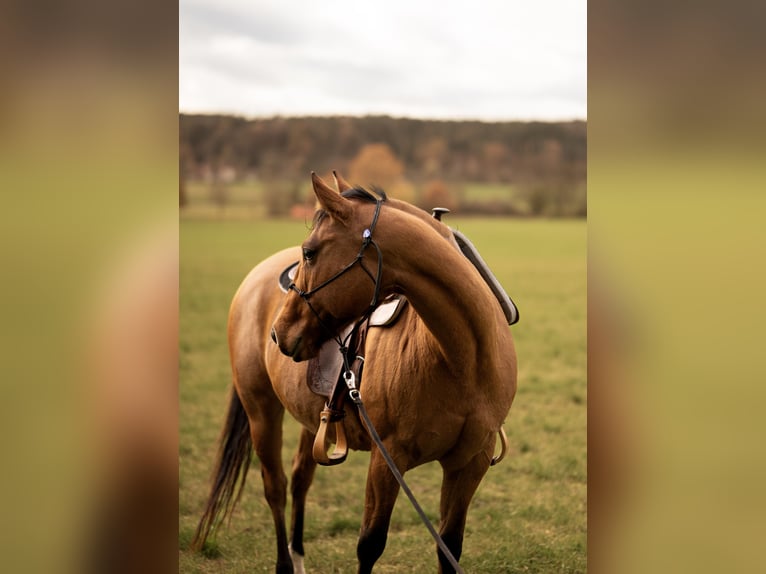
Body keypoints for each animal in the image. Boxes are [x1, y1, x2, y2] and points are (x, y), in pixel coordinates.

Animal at [191, 172, 517, 573]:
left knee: (300, 479)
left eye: (310, 252)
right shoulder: (387, 459)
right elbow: (370, 544)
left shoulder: (469, 465)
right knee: (276, 488)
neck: (463, 358)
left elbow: (449, 548)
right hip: (261, 411)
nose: (278, 333)